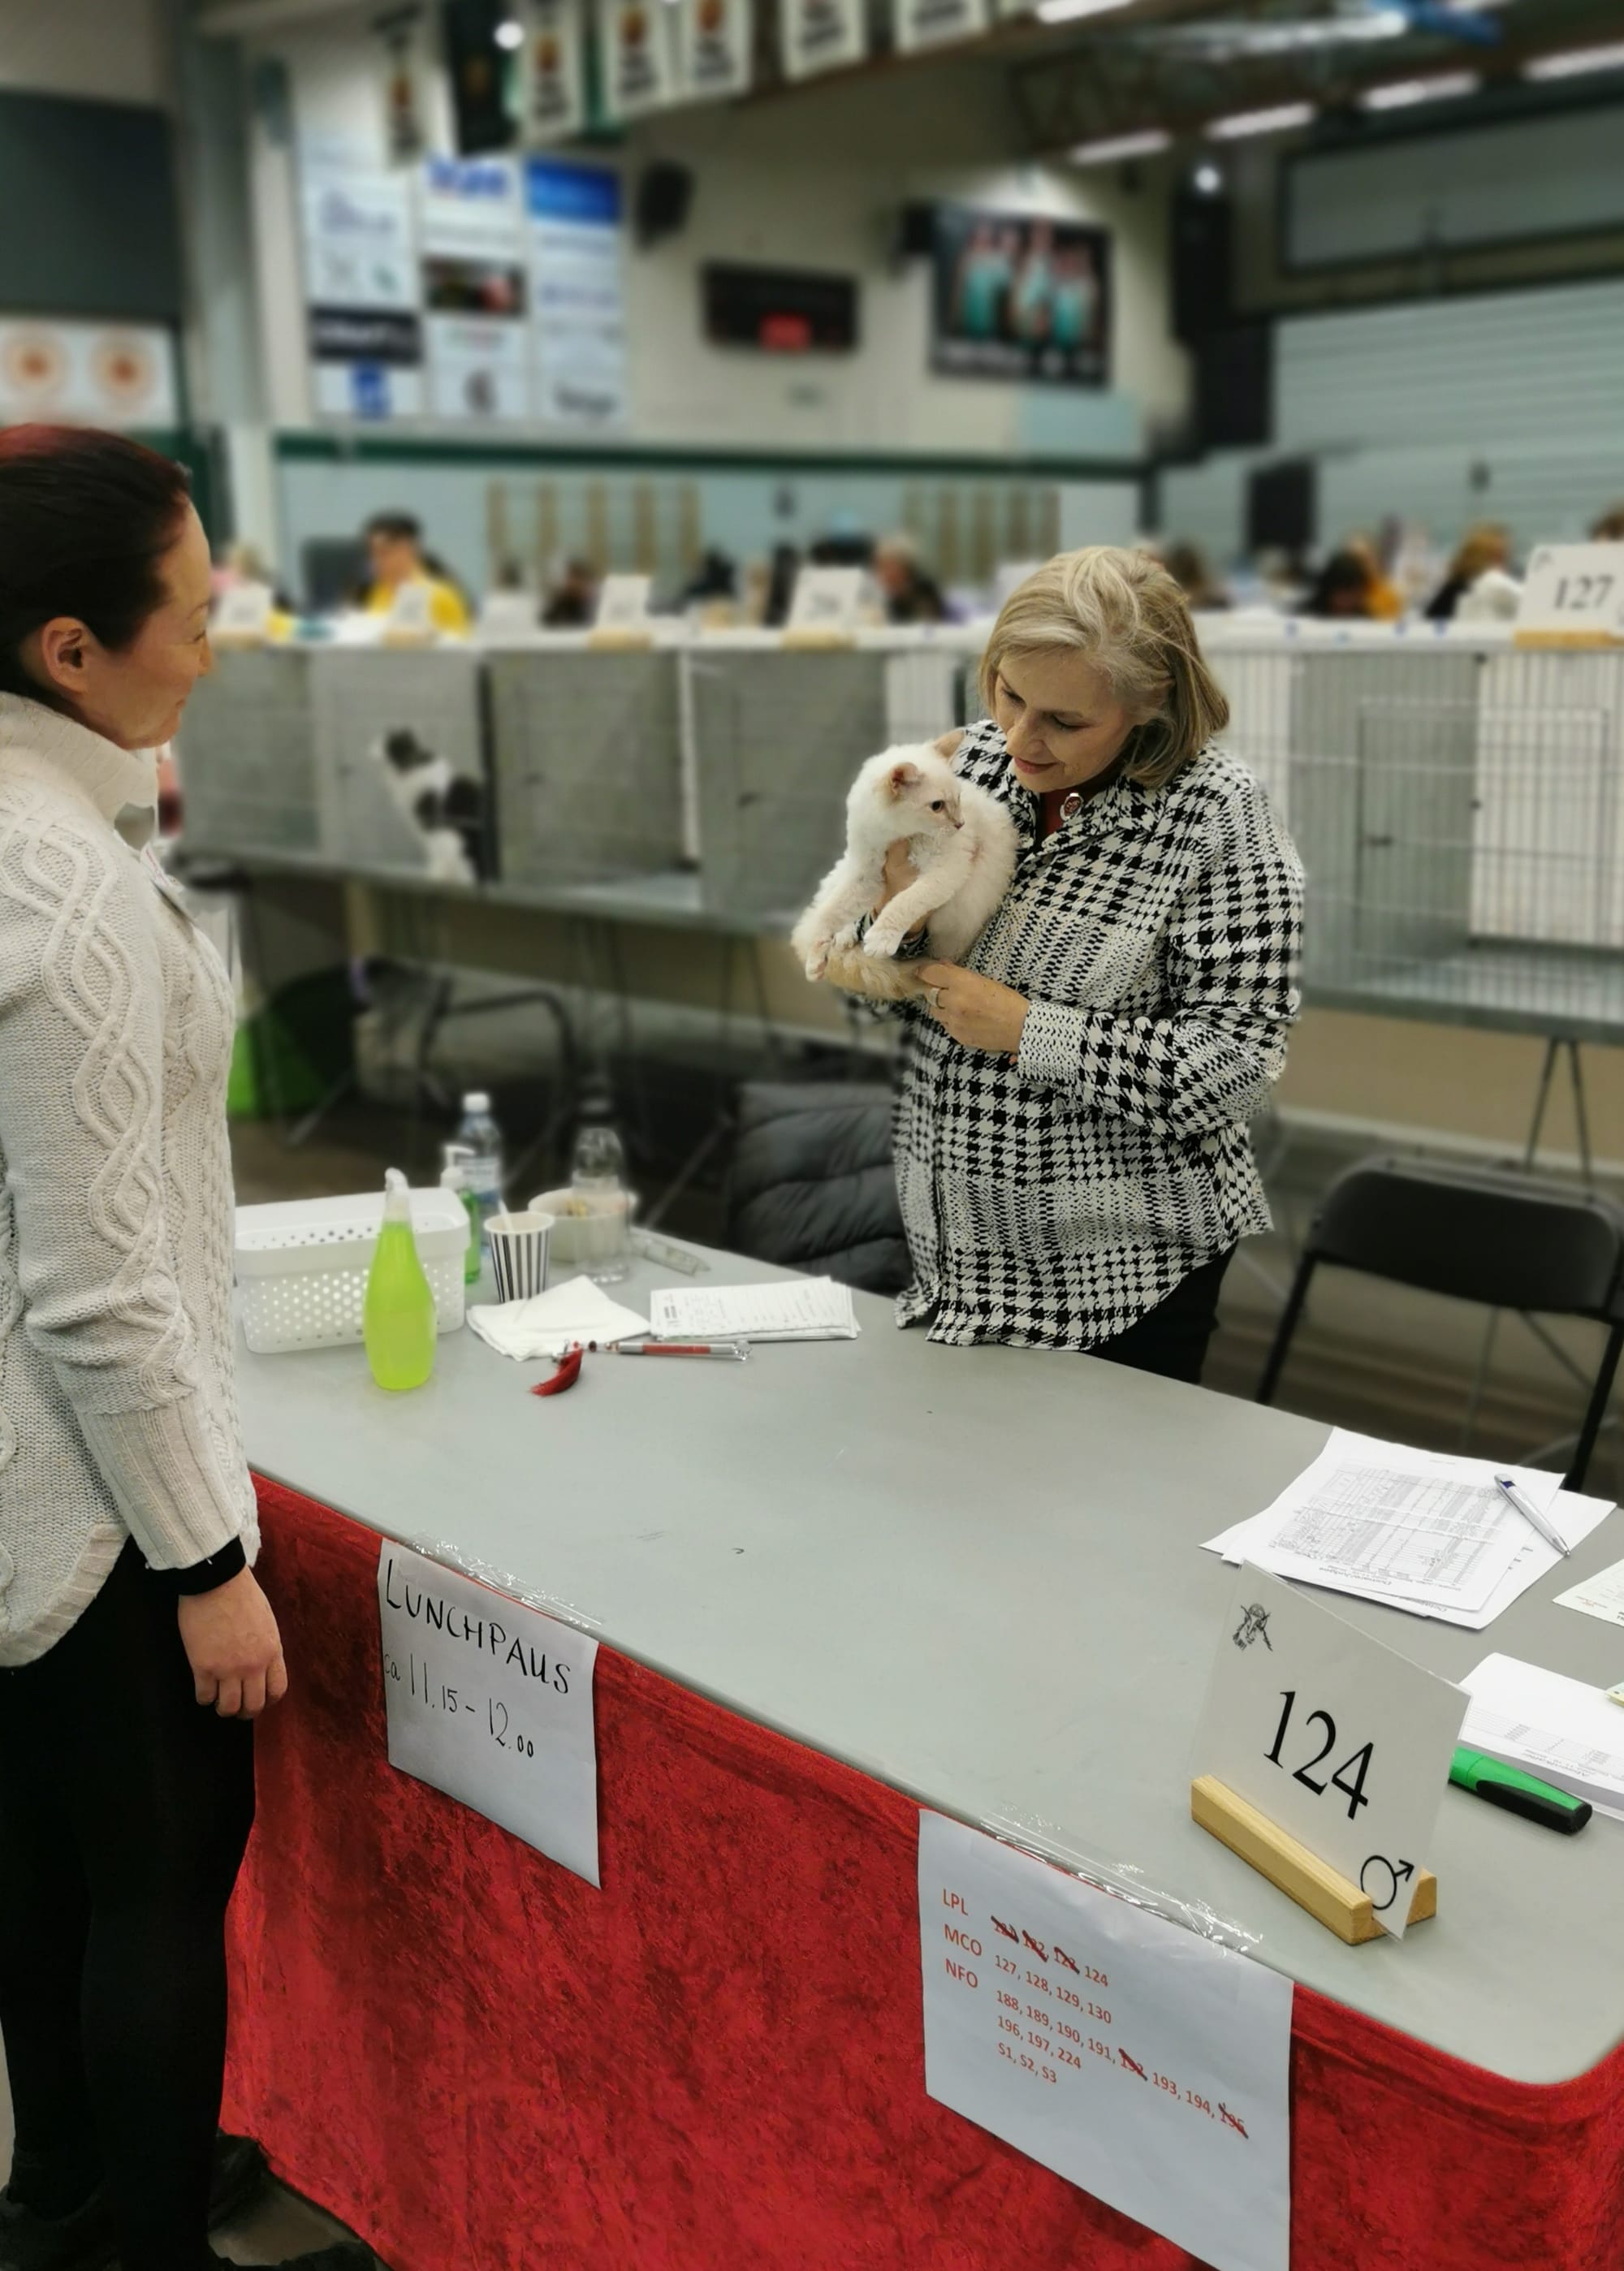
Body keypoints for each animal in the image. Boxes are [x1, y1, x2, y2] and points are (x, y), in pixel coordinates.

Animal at [790, 745, 1017, 1004]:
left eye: (958, 798)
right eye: (937, 806)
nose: (960, 824)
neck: (895, 835)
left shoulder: (947, 871)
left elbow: (904, 902)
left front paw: (881, 938)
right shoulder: (867, 877)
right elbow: (827, 914)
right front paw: (815, 959)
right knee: (827, 899)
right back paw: (843, 937)